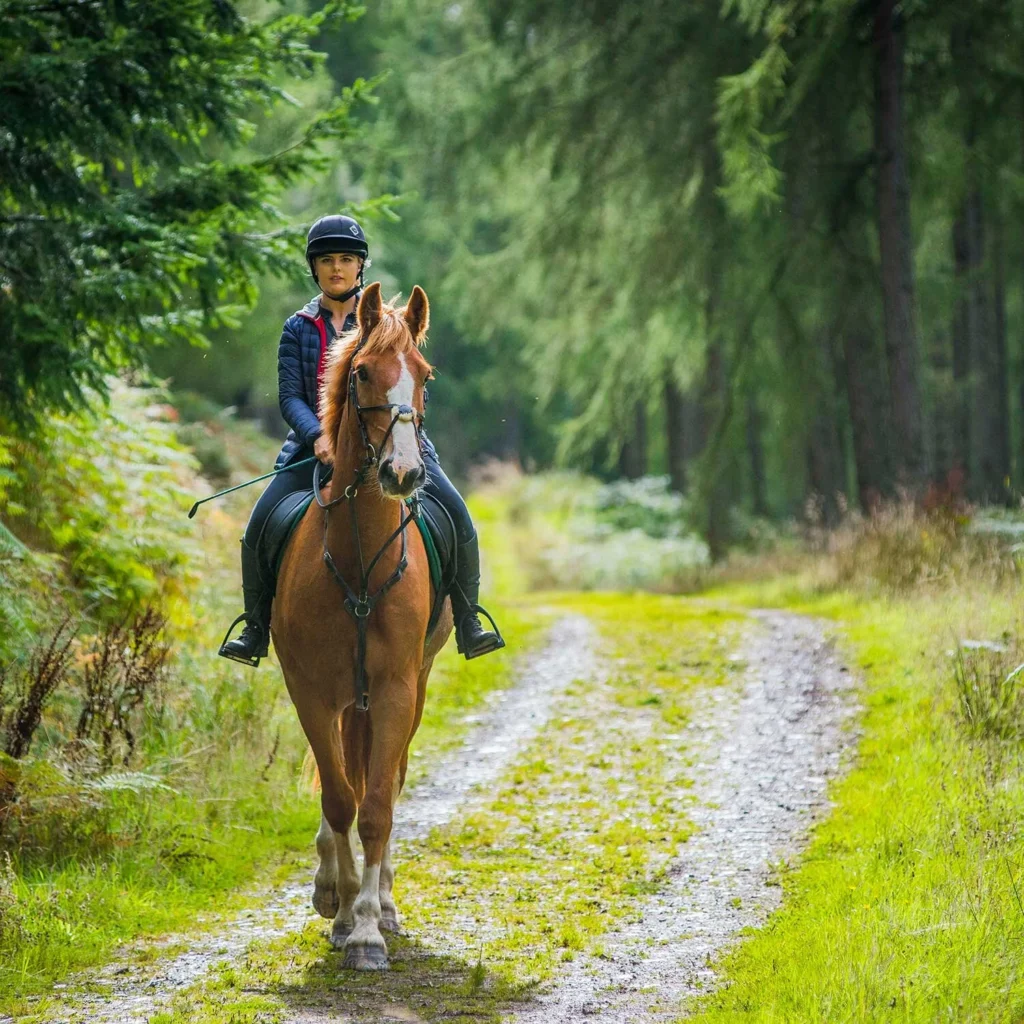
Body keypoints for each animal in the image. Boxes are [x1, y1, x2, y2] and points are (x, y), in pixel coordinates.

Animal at [272, 282, 453, 971]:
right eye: (362, 373)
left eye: (424, 375)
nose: (402, 474)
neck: (356, 558)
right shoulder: (311, 691)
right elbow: (339, 797)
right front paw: (345, 908)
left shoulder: (398, 688)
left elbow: (376, 805)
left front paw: (372, 930)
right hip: (350, 699)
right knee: (343, 783)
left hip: (407, 689)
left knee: (387, 782)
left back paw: (386, 904)